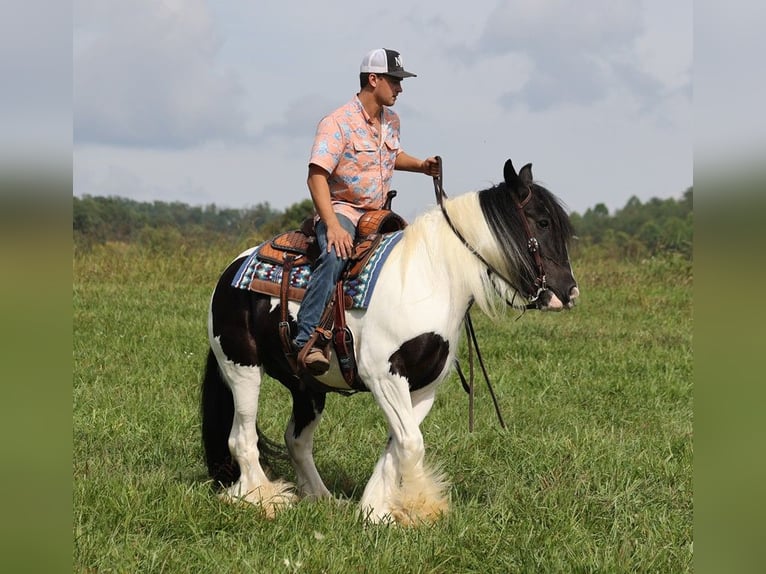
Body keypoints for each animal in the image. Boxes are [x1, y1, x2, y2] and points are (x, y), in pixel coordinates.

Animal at [201, 158, 580, 528]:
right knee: (242, 438)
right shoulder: (385, 377)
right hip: (243, 369)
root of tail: (229, 275)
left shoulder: (423, 385)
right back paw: (263, 500)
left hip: (307, 387)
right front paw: (417, 507)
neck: (430, 277)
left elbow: (397, 446)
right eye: (543, 222)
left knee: (297, 441)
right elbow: (411, 444)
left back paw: (324, 499)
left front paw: (376, 511)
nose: (569, 293)